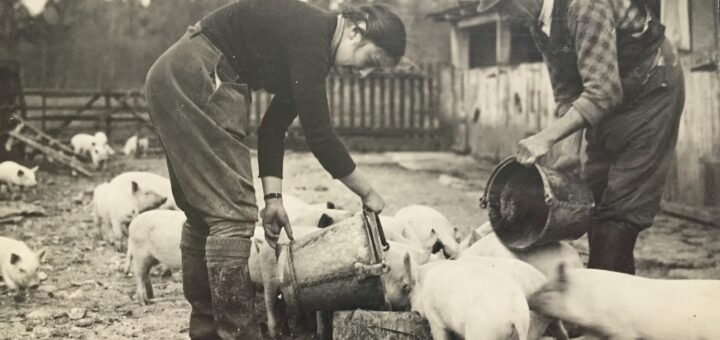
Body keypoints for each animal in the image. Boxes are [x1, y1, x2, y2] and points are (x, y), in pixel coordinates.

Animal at [402, 258, 532, 340]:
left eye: (409, 290)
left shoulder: (433, 315)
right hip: (523, 327)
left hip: (482, 331)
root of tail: (515, 312)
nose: (412, 310)